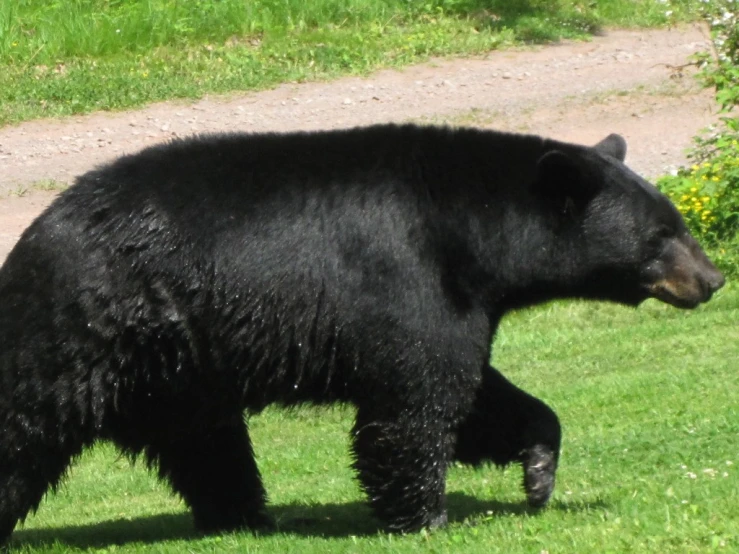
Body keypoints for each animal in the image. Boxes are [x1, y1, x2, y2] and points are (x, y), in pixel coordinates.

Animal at [0, 124, 724, 540]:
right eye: (660, 234)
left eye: (676, 220)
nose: (713, 278)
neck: (476, 230)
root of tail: (37, 230)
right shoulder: (405, 276)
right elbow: (420, 398)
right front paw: (426, 514)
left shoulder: (463, 298)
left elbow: (481, 396)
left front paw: (538, 472)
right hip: (86, 328)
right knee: (26, 421)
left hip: (177, 367)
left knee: (206, 444)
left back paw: (245, 515)